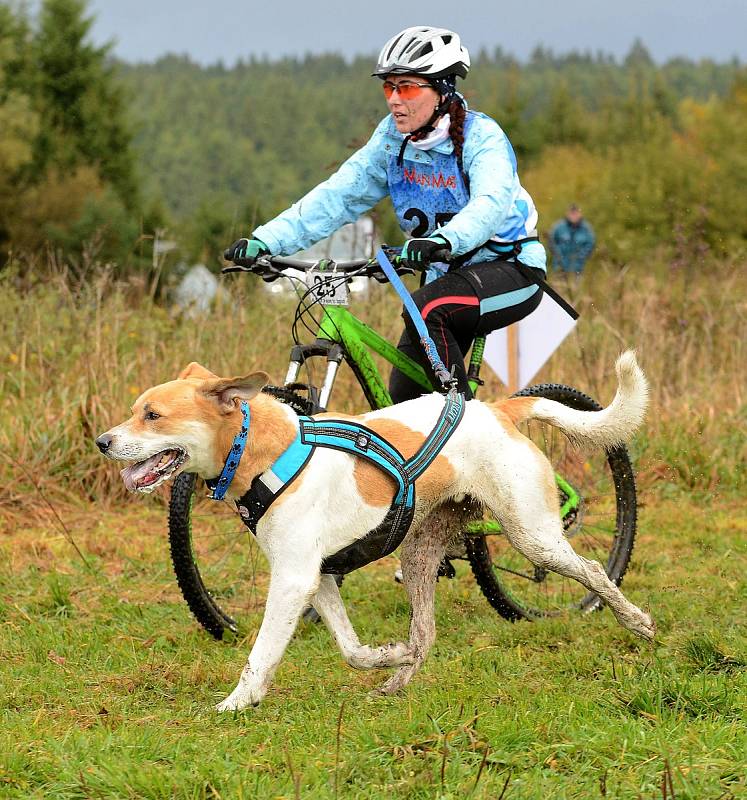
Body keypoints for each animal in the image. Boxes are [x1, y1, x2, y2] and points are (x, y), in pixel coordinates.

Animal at [98, 354, 656, 708]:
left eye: (153, 415)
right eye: (134, 411)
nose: (103, 441)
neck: (264, 452)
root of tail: (496, 409)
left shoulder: (293, 581)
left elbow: (261, 654)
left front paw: (238, 702)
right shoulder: (319, 578)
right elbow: (351, 649)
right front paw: (386, 656)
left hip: (534, 536)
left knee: (593, 571)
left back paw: (637, 621)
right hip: (419, 554)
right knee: (425, 632)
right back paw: (400, 677)